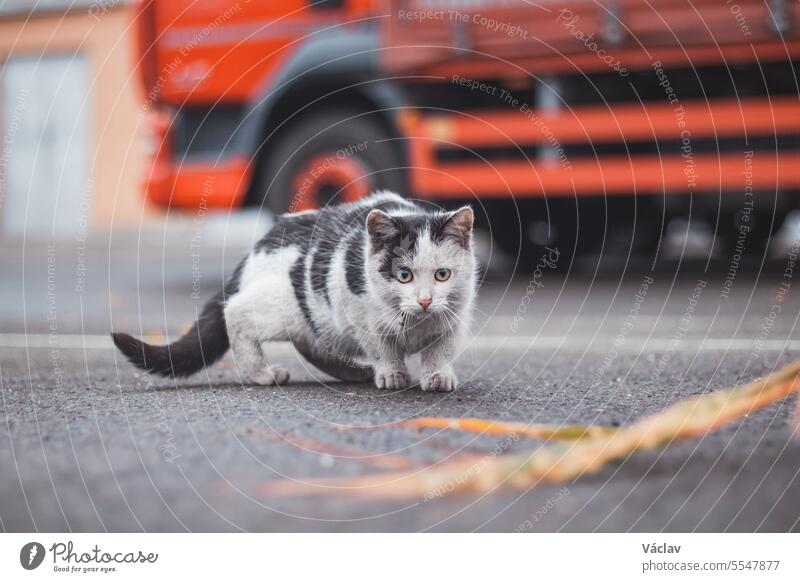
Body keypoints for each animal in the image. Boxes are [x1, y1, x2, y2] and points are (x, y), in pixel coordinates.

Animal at [111, 194, 476, 394]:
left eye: (442, 274)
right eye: (404, 275)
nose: (425, 300)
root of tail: (255, 249)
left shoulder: (455, 317)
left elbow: (440, 349)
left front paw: (437, 375)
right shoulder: (361, 312)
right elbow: (382, 345)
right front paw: (391, 373)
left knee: (311, 343)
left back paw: (354, 371)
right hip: (283, 304)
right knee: (236, 312)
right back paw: (263, 374)